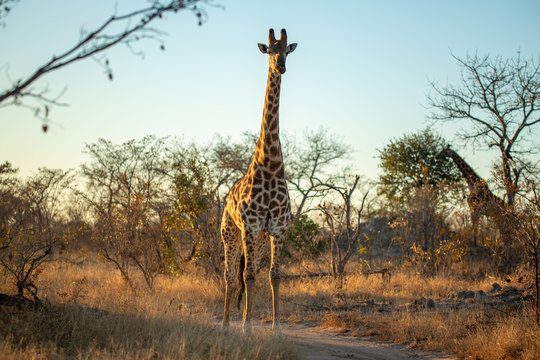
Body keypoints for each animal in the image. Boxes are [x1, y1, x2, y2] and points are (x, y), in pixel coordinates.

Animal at [219, 28, 298, 334]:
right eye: (270, 51)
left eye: (287, 51)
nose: (281, 67)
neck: (272, 165)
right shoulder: (251, 226)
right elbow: (249, 275)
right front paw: (246, 326)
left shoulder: (277, 228)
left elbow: (274, 275)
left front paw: (277, 326)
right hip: (230, 234)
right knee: (231, 274)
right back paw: (226, 323)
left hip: (259, 239)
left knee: (243, 272)